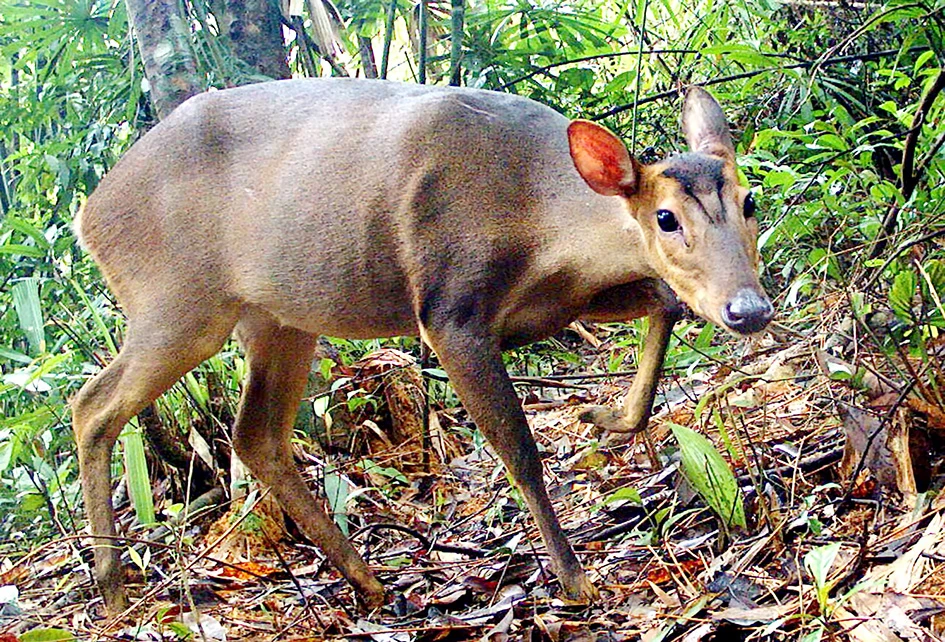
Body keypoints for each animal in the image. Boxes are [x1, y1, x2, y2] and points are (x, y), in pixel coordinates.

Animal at [72, 77, 768, 612]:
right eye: (666, 217)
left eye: (749, 199)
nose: (749, 308)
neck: (541, 219)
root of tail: (87, 216)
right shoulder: (447, 306)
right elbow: (518, 449)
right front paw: (577, 582)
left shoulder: (559, 303)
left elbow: (666, 301)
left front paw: (608, 416)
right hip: (177, 301)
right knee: (93, 405)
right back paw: (111, 587)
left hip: (279, 317)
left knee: (255, 435)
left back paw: (370, 583)